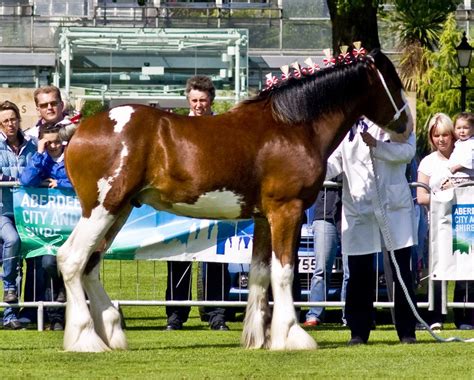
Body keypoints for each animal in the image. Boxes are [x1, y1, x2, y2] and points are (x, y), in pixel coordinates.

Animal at [55, 49, 412, 352]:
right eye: (393, 82)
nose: (407, 126)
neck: (293, 126)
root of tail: (79, 130)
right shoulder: (287, 210)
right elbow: (284, 272)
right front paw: (292, 335)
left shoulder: (264, 217)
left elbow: (261, 274)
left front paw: (260, 338)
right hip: (103, 209)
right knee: (72, 259)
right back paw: (86, 339)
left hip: (120, 210)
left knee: (90, 265)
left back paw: (111, 332)